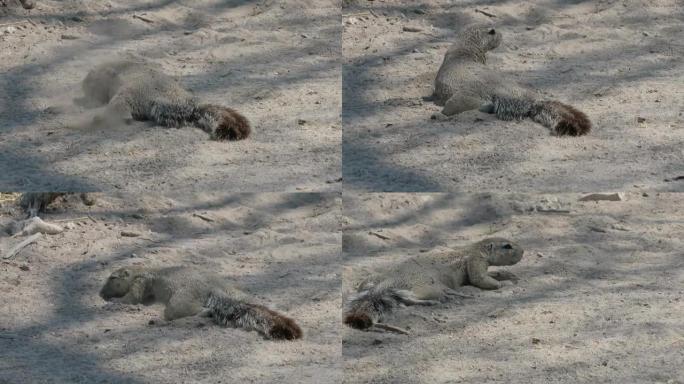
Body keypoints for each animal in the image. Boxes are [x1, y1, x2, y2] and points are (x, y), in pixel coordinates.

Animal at [101, 266, 302, 340]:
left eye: (113, 278)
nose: (101, 293)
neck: (140, 269)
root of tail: (214, 289)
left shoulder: (139, 282)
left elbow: (131, 298)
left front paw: (113, 301)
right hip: (238, 293)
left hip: (179, 302)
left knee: (190, 313)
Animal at [342, 237, 524, 330]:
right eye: (507, 246)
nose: (523, 251)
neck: (475, 248)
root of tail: (388, 281)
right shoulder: (475, 260)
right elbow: (480, 279)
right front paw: (506, 284)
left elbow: (490, 275)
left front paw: (505, 274)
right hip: (430, 286)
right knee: (413, 298)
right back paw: (443, 298)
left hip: (371, 280)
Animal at [430, 25, 592, 136]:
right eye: (493, 31)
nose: (502, 34)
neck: (463, 50)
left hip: (463, 96)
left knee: (457, 107)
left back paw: (439, 115)